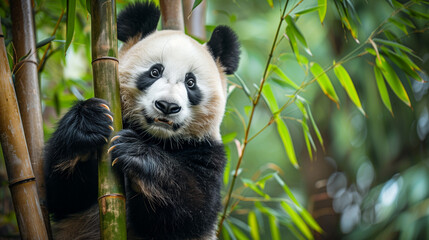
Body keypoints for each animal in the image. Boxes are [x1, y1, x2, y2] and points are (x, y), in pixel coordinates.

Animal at [44, 0, 239, 239]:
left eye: (191, 82)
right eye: (155, 71)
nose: (167, 106)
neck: (156, 138)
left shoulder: (207, 152)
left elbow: (190, 211)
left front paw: (136, 153)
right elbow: (61, 194)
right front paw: (89, 123)